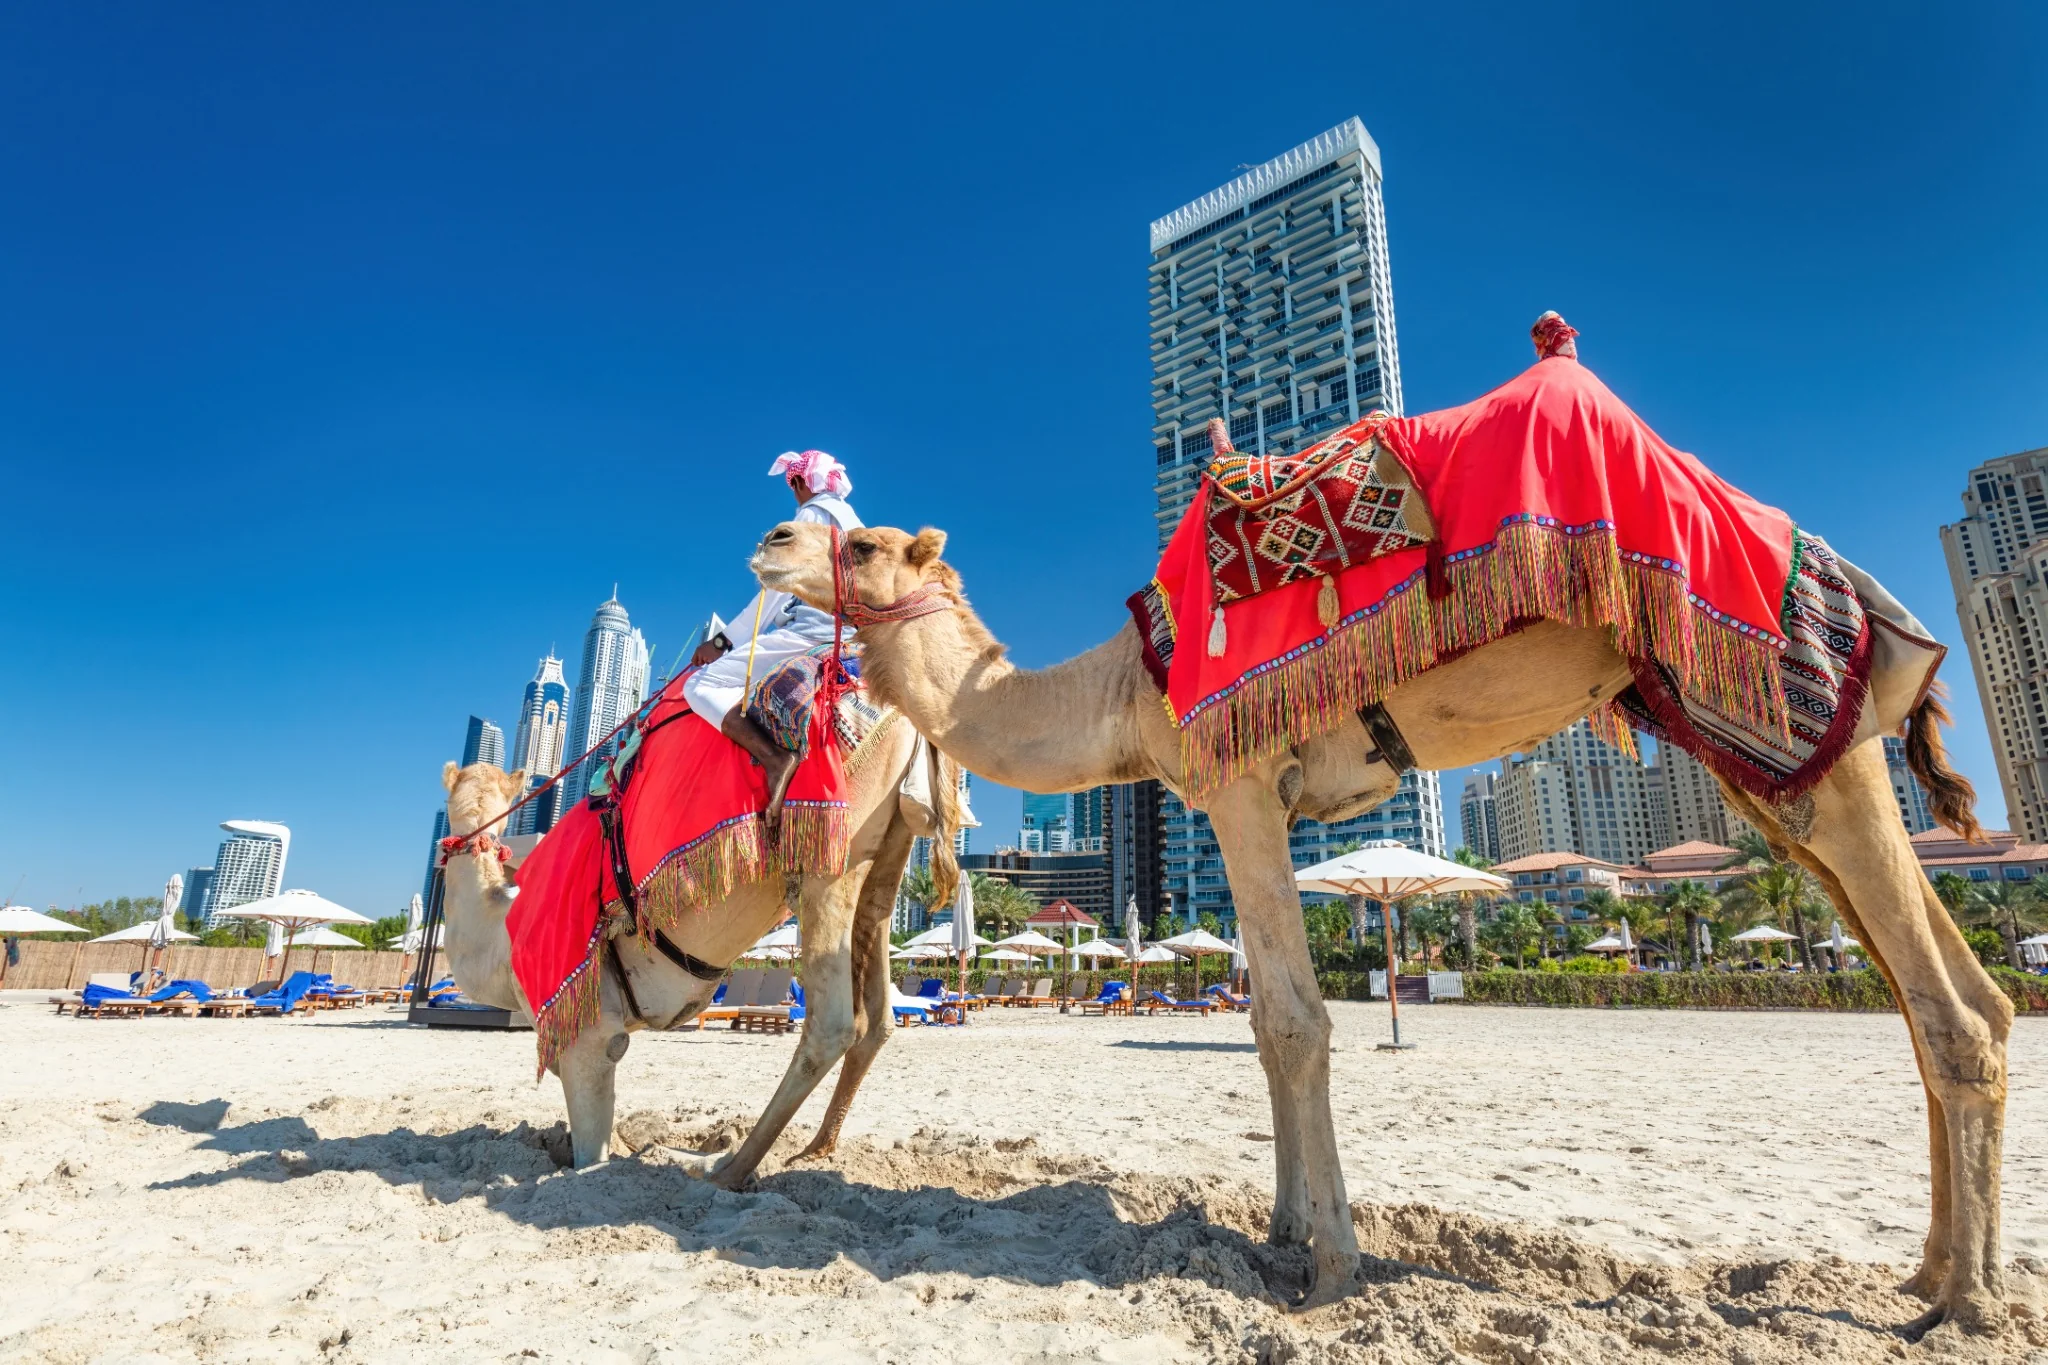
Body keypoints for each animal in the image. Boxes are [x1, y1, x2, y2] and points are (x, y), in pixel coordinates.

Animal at [435, 708, 962, 1176]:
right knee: (876, 1009)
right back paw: (809, 1151)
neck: (498, 937)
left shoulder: (586, 1029)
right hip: (888, 849)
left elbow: (590, 1160)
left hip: (833, 843)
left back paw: (723, 1168)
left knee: (831, 1024)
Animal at [750, 517, 2013, 1335]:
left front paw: (1331, 1273)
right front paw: (1276, 1233)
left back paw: (1962, 1304)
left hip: (1790, 727)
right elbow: (1266, 1028)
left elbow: (1295, 1024)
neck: (1114, 694)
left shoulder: (1240, 781)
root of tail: (1870, 596)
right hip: (1756, 760)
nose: (767, 538)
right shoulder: (1244, 799)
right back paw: (1927, 1277)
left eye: (860, 546)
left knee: (1950, 1011)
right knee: (1946, 998)